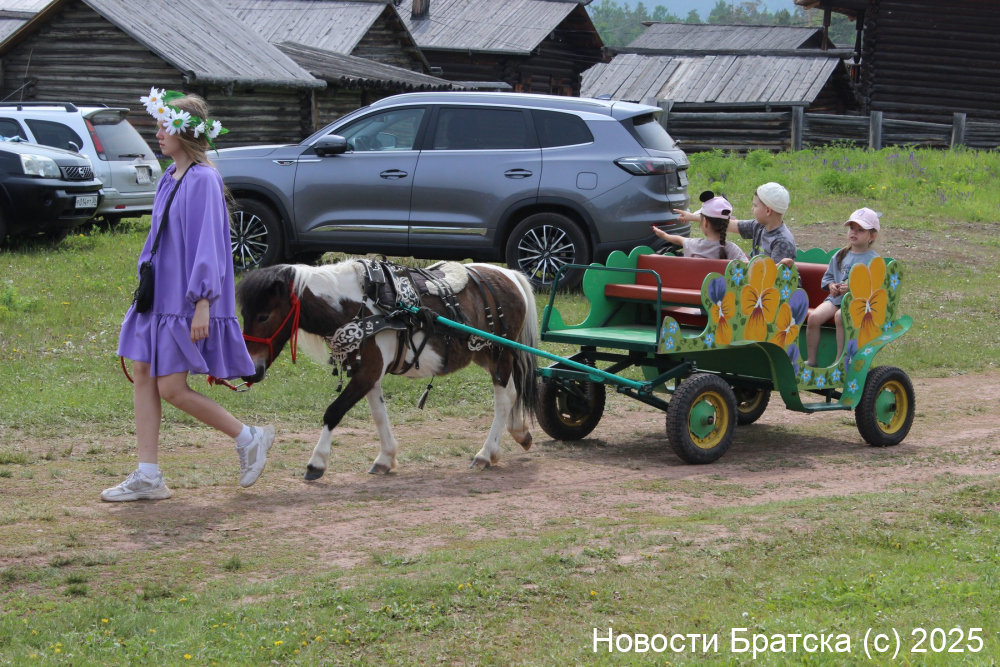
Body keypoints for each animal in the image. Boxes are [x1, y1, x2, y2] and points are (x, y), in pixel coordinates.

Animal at [235, 259, 539, 479]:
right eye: (245, 315)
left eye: (264, 316)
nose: (250, 371)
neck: (358, 306)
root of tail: (510, 275)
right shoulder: (369, 372)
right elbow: (379, 415)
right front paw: (386, 458)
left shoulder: (368, 371)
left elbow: (333, 411)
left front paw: (317, 462)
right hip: (485, 355)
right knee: (511, 394)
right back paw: (519, 433)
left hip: (500, 354)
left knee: (504, 399)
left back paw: (486, 453)